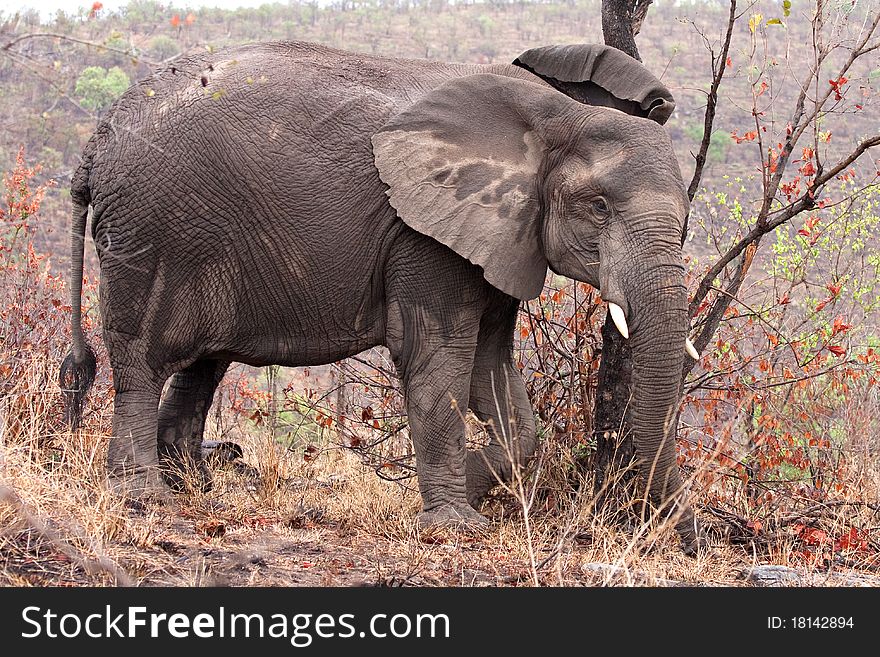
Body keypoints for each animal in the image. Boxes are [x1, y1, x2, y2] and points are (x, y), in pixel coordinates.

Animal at [60, 41, 700, 552]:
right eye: (599, 207)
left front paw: (473, 485)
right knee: (143, 357)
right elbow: (436, 356)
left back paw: (194, 485)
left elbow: (490, 367)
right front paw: (456, 524)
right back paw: (145, 496)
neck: (556, 116)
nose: (681, 535)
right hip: (149, 233)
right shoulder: (424, 233)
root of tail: (94, 145)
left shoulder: (501, 234)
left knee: (202, 364)